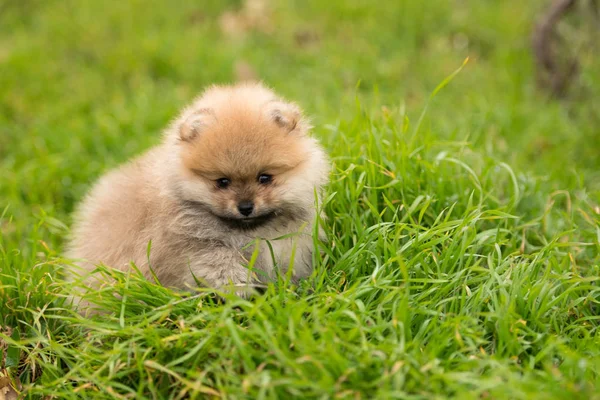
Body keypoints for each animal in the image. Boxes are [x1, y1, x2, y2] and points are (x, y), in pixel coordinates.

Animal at [67, 83, 328, 298]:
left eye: (265, 177)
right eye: (222, 182)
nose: (245, 207)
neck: (247, 233)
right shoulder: (192, 247)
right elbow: (219, 265)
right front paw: (241, 290)